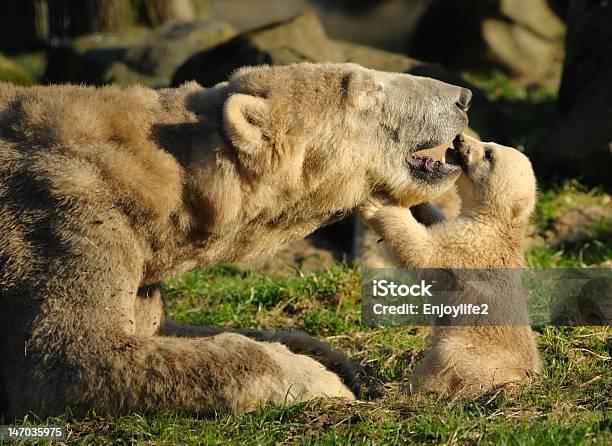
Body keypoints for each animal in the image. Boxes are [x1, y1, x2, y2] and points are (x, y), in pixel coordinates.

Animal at [0, 61, 468, 416]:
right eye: (369, 91)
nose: (463, 97)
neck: (164, 180)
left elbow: (167, 328)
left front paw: (339, 362)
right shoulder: (63, 216)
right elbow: (68, 351)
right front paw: (321, 380)